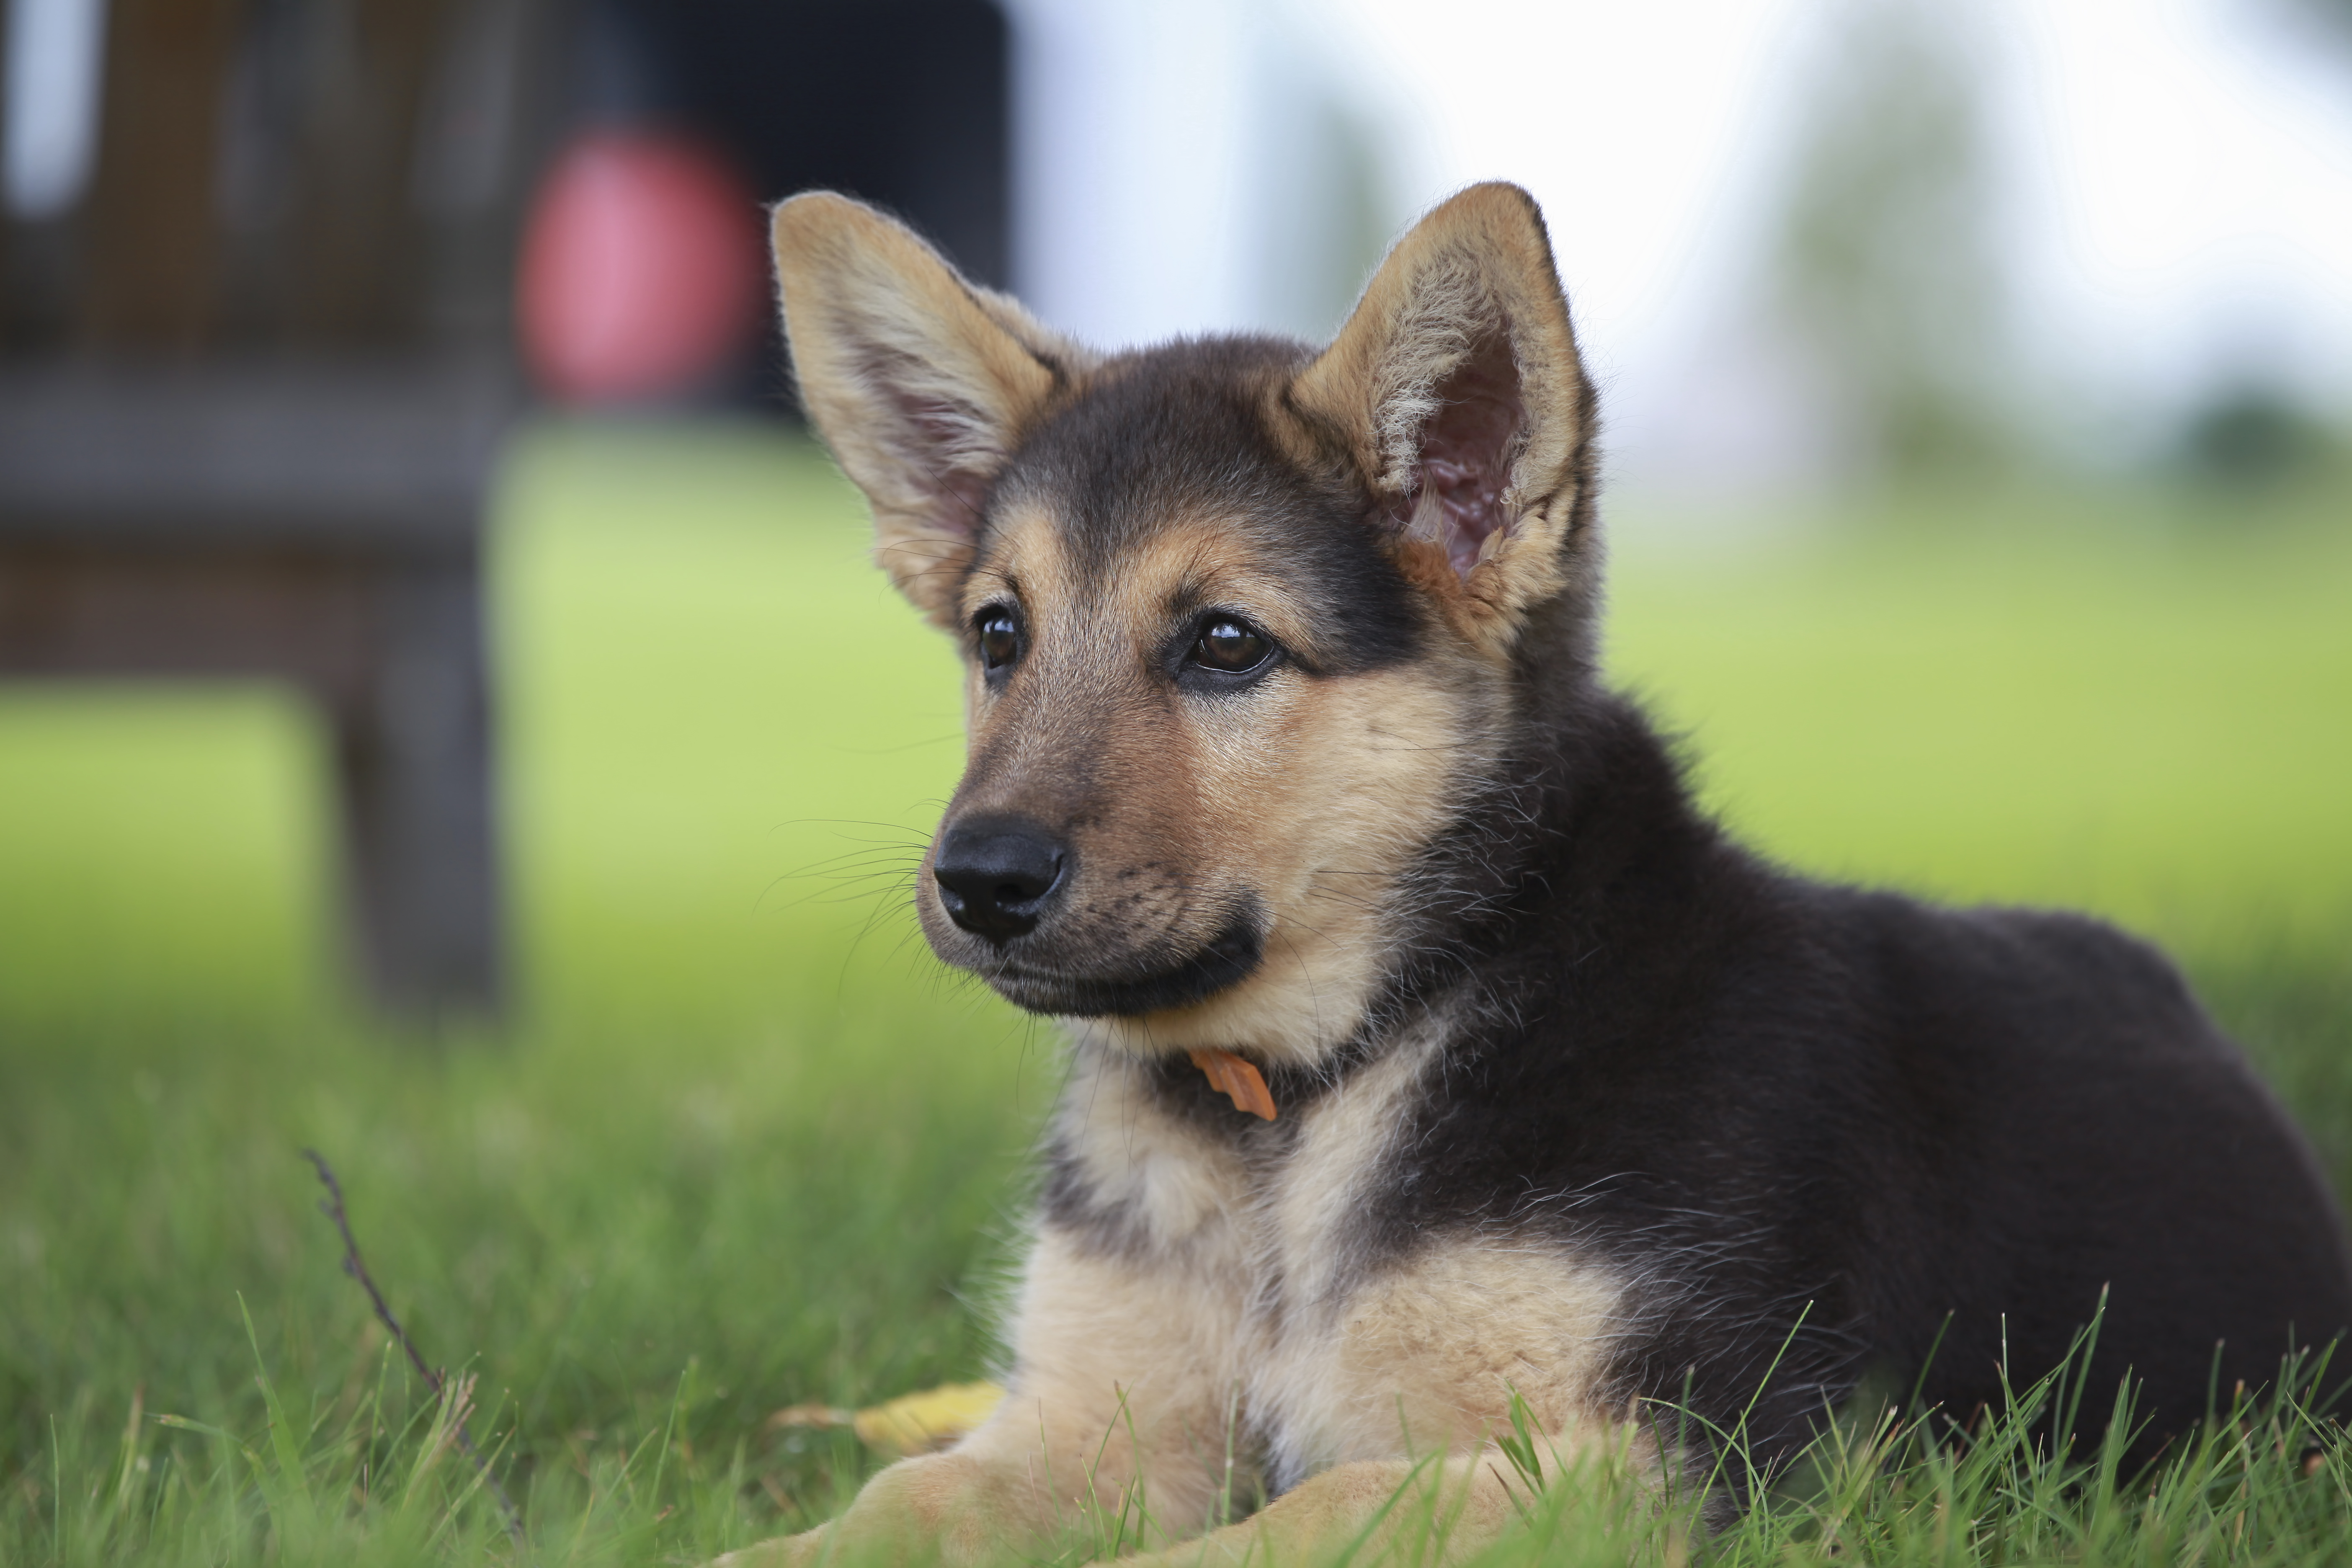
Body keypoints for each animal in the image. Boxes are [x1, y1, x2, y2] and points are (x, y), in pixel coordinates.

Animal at [748, 181, 2352, 1561]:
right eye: (999, 635)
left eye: (1225, 644)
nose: (978, 880)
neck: (1314, 1089)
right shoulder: (1091, 1422)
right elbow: (895, 1501)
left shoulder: (1670, 1452)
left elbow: (1308, 1515)